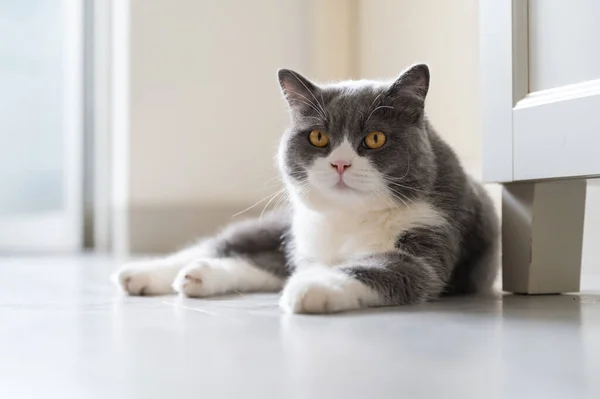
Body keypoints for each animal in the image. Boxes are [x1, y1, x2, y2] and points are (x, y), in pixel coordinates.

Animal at [112, 65, 496, 316]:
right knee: (221, 244)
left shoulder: (431, 237)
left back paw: (197, 275)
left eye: (375, 138)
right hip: (277, 225)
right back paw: (143, 274)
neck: (348, 217)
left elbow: (386, 268)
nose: (340, 164)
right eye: (318, 137)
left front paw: (313, 286)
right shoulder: (304, 235)